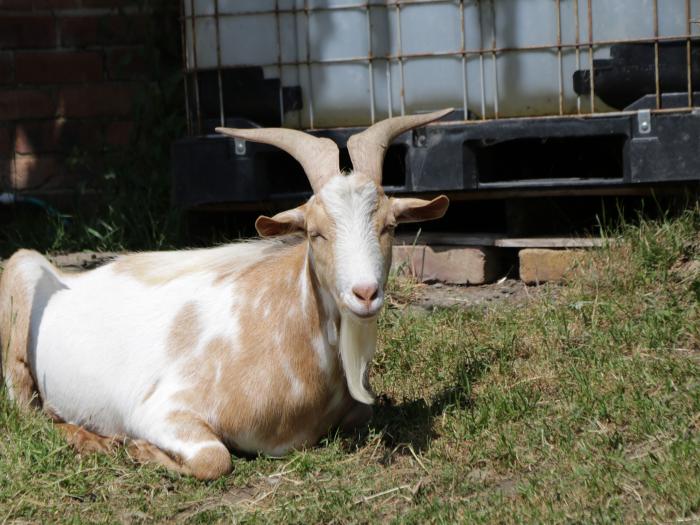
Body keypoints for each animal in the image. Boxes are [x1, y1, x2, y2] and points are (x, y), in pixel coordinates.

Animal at [0, 109, 452, 478]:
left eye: (389, 226)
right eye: (315, 232)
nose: (365, 293)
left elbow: (363, 413)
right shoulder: (161, 409)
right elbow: (214, 459)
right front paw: (138, 449)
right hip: (21, 274)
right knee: (28, 411)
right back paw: (88, 436)